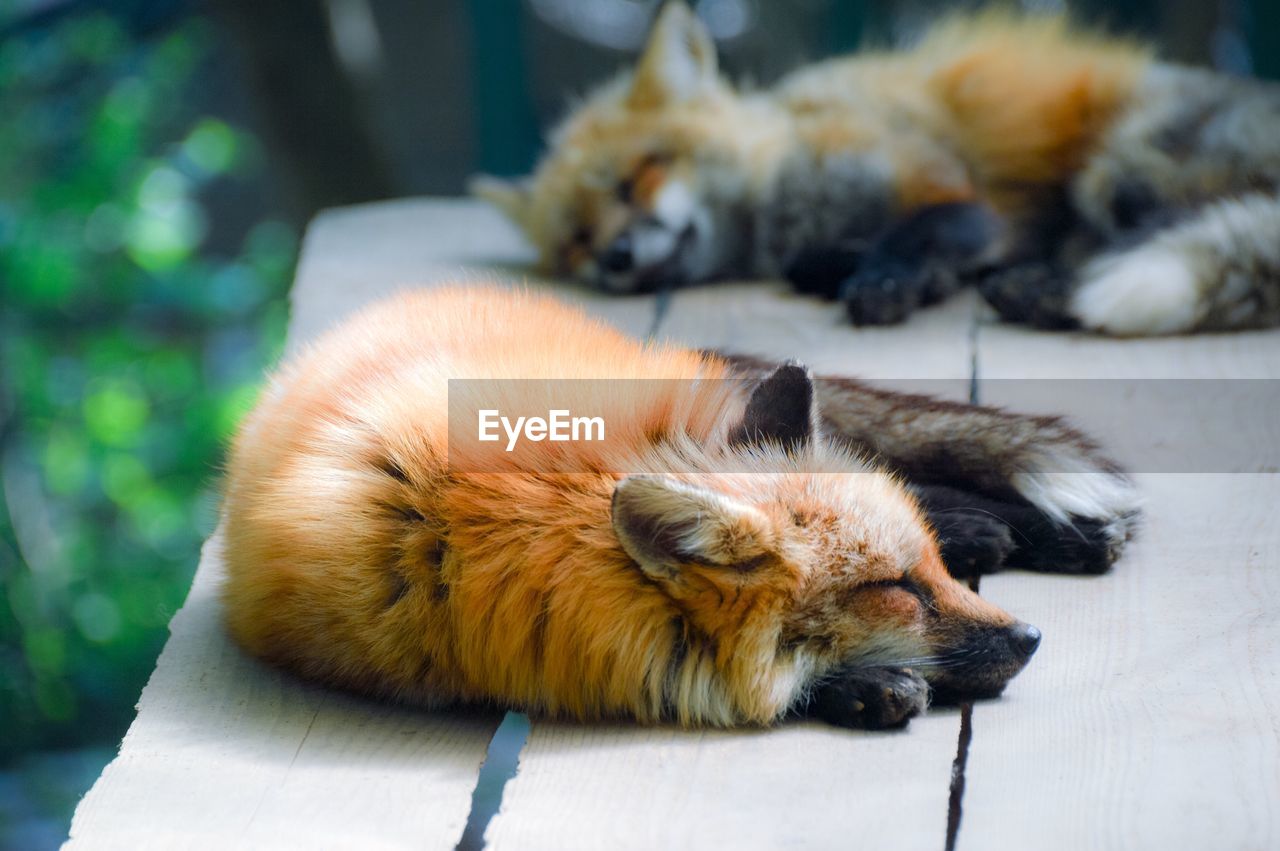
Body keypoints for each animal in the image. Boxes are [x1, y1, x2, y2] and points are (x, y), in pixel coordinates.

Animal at [476, 3, 1280, 335]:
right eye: (577, 241)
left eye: (637, 174)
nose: (615, 256)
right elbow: (826, 259)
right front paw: (851, 268)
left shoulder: (945, 187)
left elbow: (917, 232)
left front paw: (885, 278)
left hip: (1117, 173)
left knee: (1149, 234)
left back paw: (1041, 287)